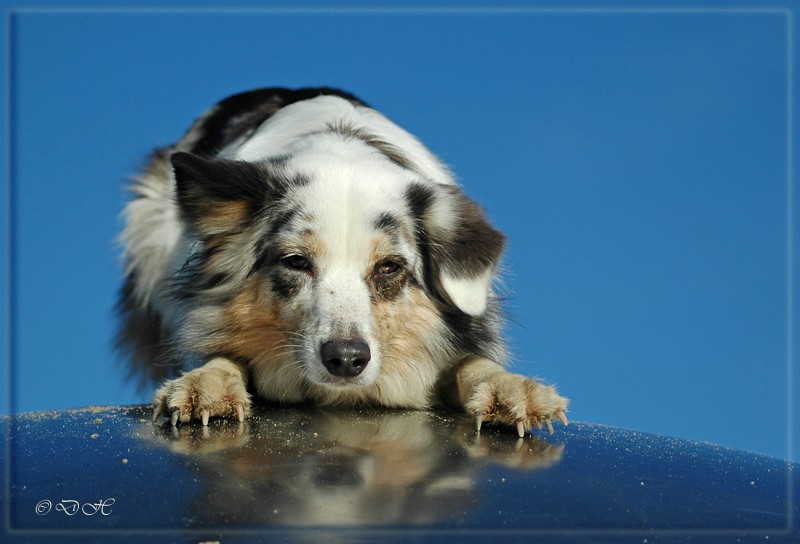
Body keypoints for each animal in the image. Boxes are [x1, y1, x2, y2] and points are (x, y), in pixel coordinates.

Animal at [117, 87, 568, 436]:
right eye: (297, 261)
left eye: (388, 267)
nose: (346, 359)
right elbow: (223, 351)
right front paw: (207, 383)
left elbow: (472, 361)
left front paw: (513, 390)